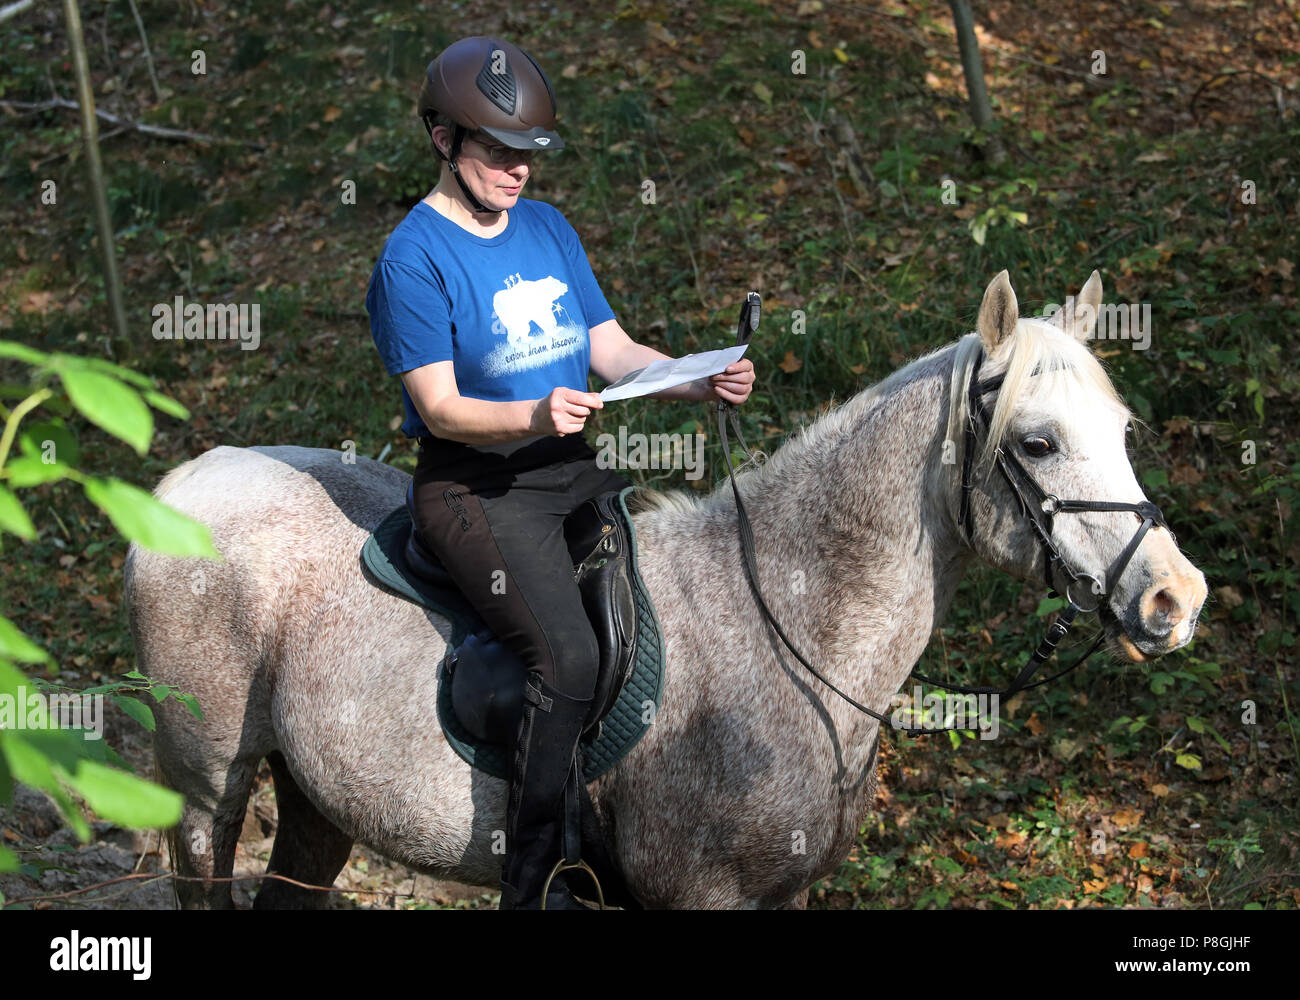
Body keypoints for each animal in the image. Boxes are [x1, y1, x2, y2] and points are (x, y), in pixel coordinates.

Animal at [124, 269, 1206, 910]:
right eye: (1038, 442)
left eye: (1119, 428)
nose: (1174, 599)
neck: (786, 632)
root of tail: (188, 480)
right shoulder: (699, 896)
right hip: (207, 787)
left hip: (315, 798)